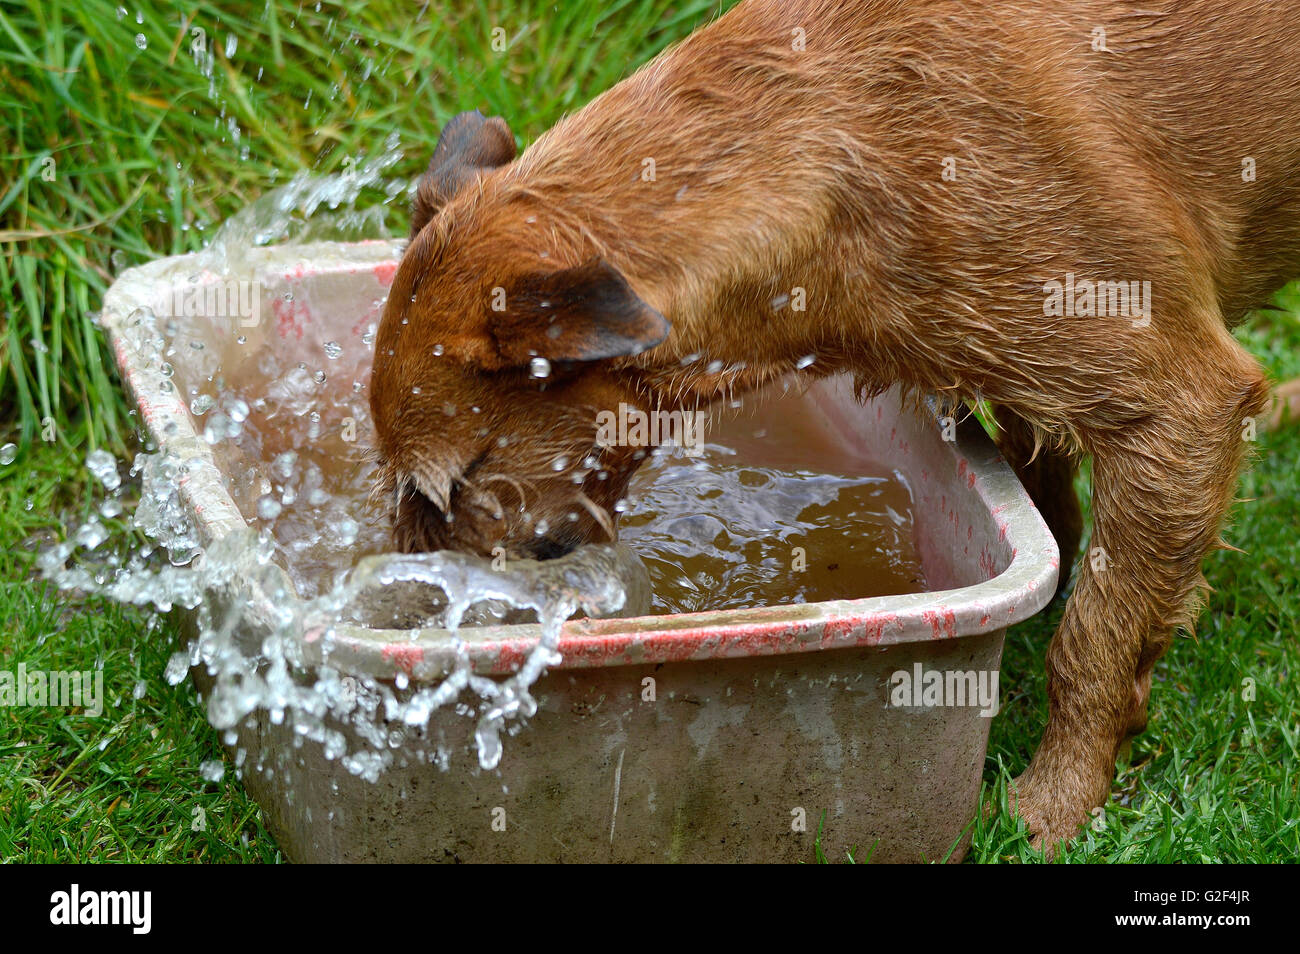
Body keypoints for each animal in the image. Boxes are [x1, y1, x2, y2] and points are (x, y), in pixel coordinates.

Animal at [369, 0, 1300, 852]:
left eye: (445, 484)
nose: (407, 618)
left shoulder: (1177, 407)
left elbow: (1096, 643)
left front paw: (1052, 809)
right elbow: (1057, 512)